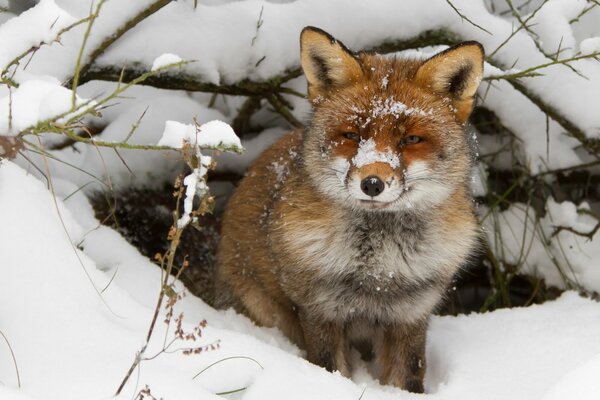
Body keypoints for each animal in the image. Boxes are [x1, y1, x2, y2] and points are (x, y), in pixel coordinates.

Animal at [216, 26, 482, 392]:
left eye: (411, 140)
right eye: (352, 135)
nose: (372, 183)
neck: (379, 270)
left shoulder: (411, 314)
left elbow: (408, 376)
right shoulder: (321, 310)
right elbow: (330, 370)